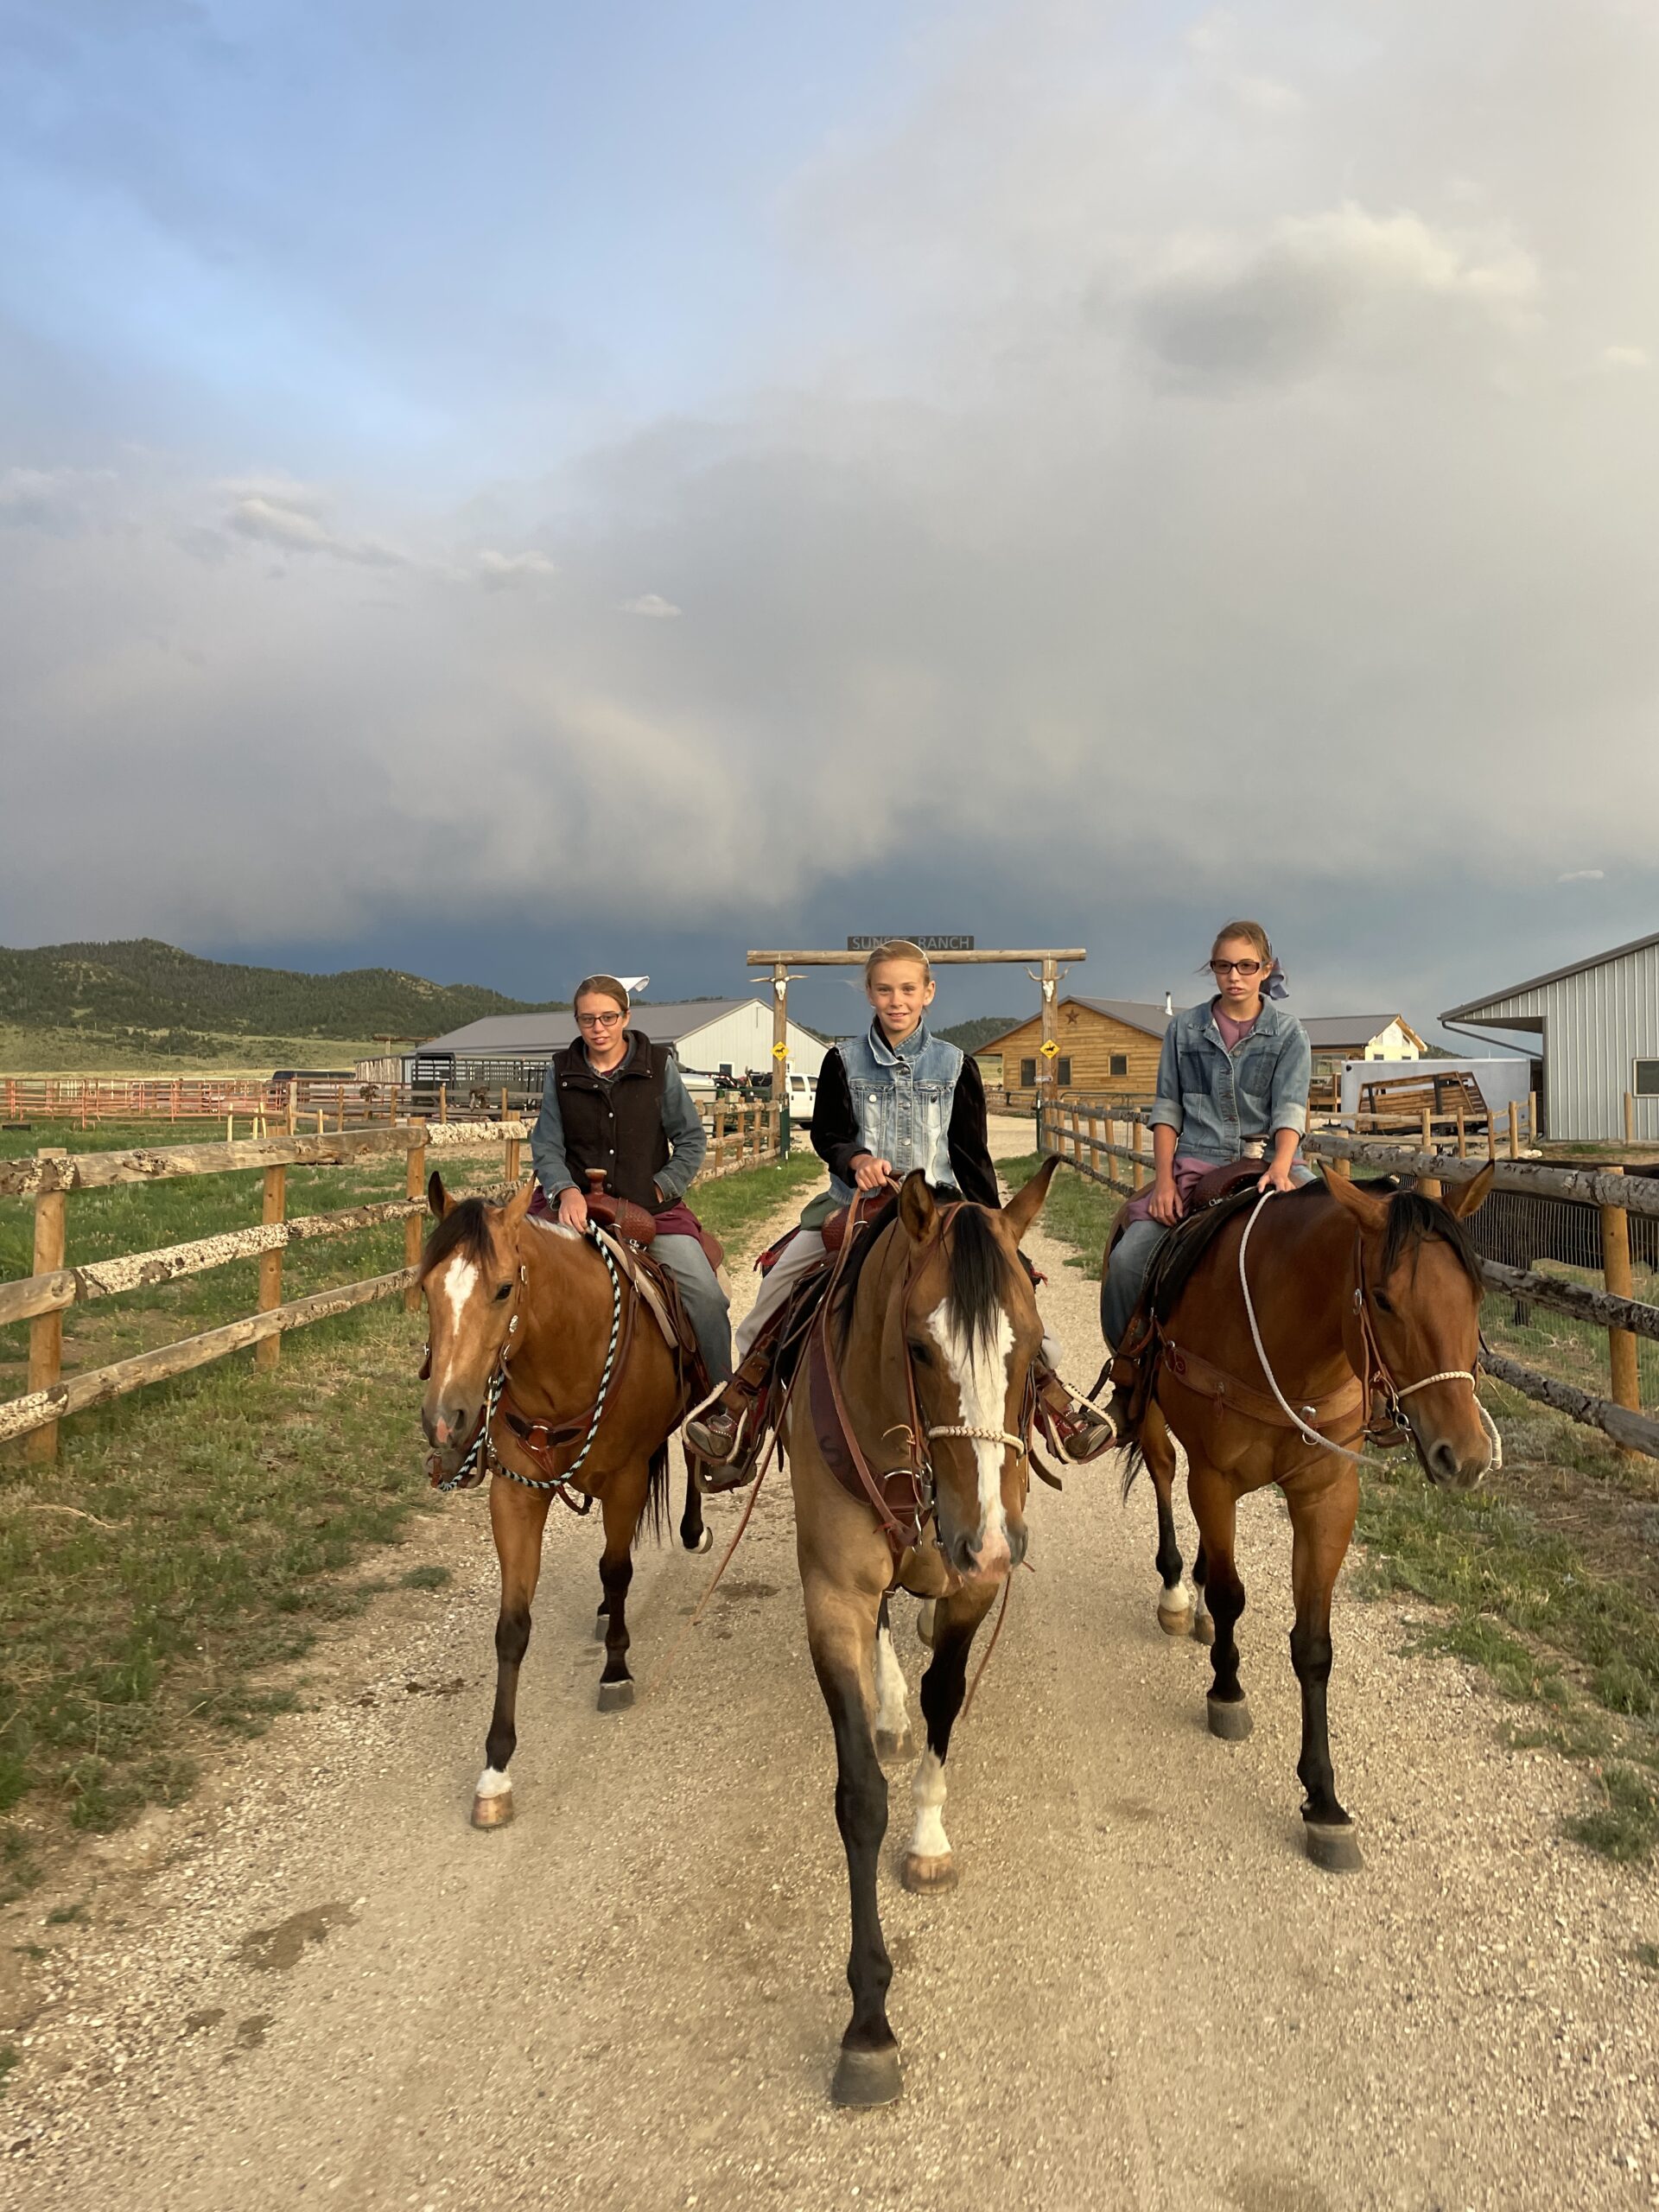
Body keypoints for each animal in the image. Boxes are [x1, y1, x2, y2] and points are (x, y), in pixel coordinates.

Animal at [416, 1176, 708, 1831]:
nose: (447, 1421)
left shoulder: (627, 1481)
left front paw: (616, 1671)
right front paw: (495, 1771)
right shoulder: (515, 1495)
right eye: (425, 1288)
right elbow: (512, 1626)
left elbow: (618, 1570)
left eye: (503, 1288)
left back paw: (692, 1527)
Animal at [787, 1159, 1057, 2106]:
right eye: (918, 1347)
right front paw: (868, 2023)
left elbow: (947, 1694)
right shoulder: (832, 1595)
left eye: (1032, 1344)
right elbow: (858, 1796)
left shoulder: (973, 1586)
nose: (990, 1541)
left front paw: (931, 1837)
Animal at [1123, 1167, 1503, 1875]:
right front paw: (1226, 1691)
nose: (1464, 1456)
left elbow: (1314, 1647)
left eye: (1477, 1292)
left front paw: (1324, 1800)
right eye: (1382, 1299)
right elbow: (1232, 1593)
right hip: (1157, 1417)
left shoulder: (1327, 1497)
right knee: (1163, 1475)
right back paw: (1177, 1594)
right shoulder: (1214, 1479)